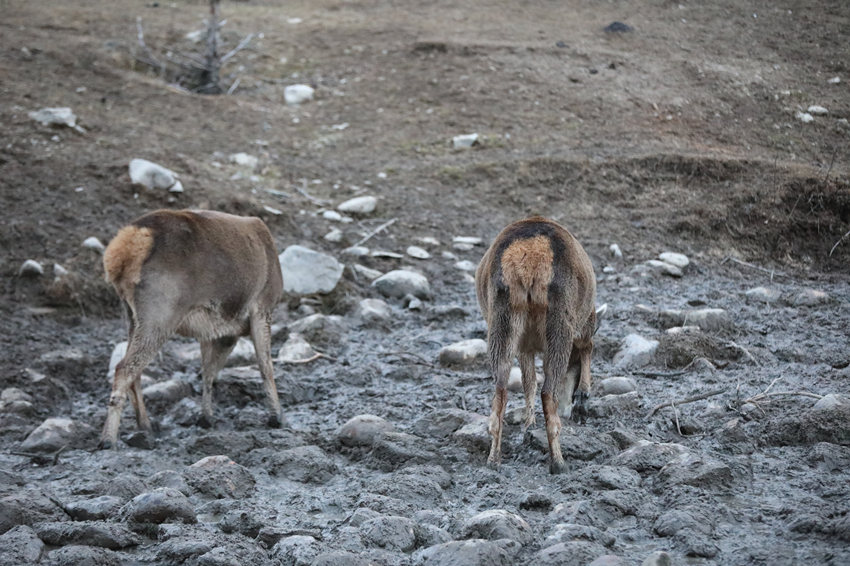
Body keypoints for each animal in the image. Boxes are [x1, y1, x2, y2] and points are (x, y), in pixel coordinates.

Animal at [98, 211, 284, 450]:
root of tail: (122, 249)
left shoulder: (215, 330)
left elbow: (208, 370)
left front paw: (206, 417)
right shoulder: (262, 307)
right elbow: (265, 365)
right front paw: (277, 417)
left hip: (131, 314)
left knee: (134, 370)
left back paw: (146, 427)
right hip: (161, 311)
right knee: (124, 368)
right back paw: (108, 439)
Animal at [470, 217, 596, 474]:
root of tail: (528, 260)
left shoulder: (524, 346)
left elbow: (528, 382)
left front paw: (529, 424)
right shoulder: (583, 323)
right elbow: (587, 347)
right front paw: (583, 399)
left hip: (502, 319)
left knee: (500, 391)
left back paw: (493, 460)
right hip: (560, 322)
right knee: (548, 392)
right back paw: (558, 462)